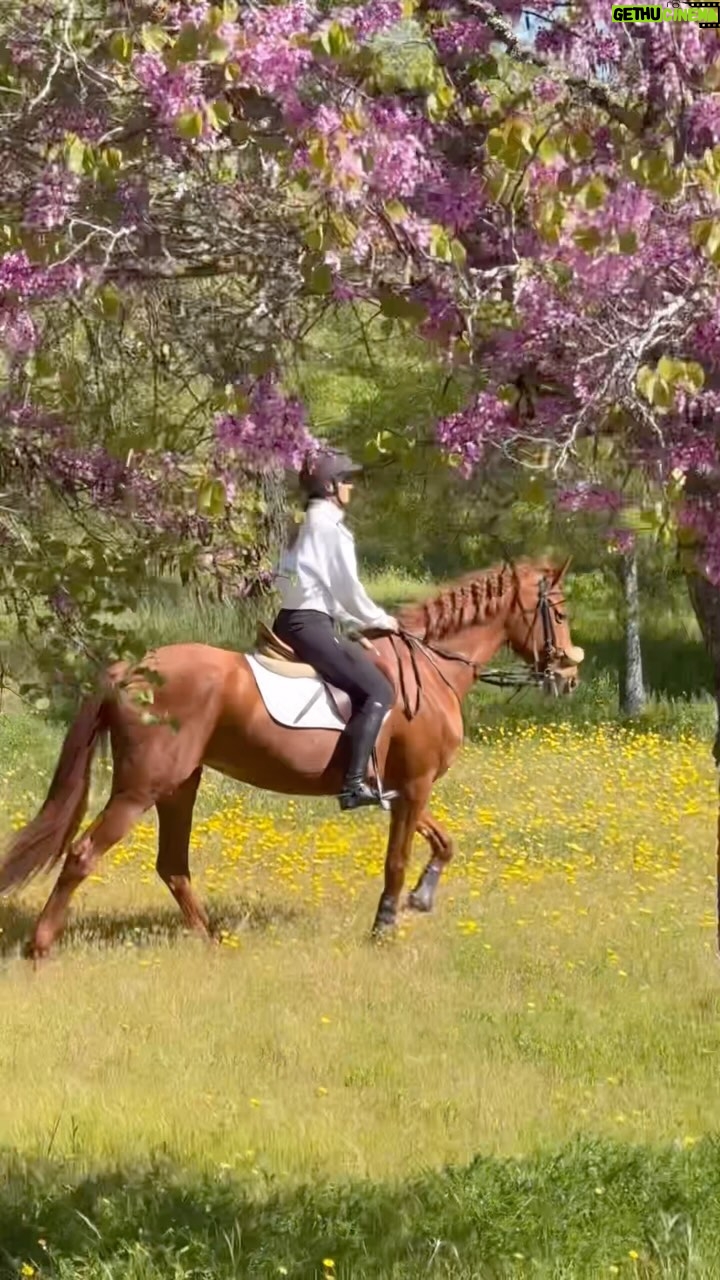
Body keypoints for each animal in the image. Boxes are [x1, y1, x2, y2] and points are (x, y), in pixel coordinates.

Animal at [0, 559, 584, 959]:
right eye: (557, 611)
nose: (569, 676)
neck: (432, 670)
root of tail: (132, 671)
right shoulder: (415, 784)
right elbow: (397, 860)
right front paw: (386, 925)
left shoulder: (400, 788)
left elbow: (443, 842)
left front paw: (421, 898)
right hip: (141, 789)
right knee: (83, 855)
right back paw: (40, 948)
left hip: (180, 785)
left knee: (172, 866)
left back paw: (210, 940)